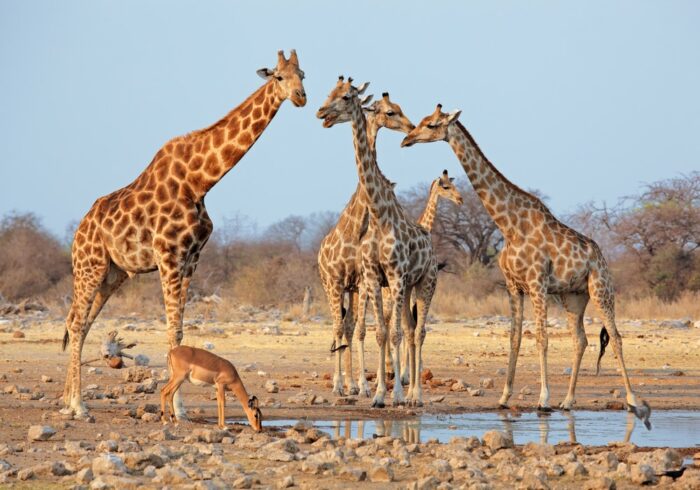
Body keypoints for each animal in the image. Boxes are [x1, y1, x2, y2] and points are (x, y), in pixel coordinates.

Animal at [62, 49, 306, 420]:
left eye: (303, 75)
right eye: (279, 76)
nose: (301, 97)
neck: (200, 181)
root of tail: (79, 231)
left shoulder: (192, 259)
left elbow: (179, 328)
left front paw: (181, 407)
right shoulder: (169, 256)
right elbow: (172, 330)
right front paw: (178, 408)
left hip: (112, 274)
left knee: (81, 321)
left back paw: (66, 400)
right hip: (89, 266)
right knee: (75, 323)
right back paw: (78, 405)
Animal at [318, 78, 438, 408]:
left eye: (346, 96)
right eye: (330, 94)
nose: (322, 113)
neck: (377, 213)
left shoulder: (393, 276)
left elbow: (392, 334)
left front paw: (392, 393)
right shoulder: (371, 277)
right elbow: (379, 333)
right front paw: (378, 394)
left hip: (424, 282)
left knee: (418, 331)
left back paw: (415, 395)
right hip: (358, 285)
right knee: (390, 329)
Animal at [402, 104, 652, 428]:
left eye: (431, 124)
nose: (406, 139)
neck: (510, 226)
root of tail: (602, 257)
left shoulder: (537, 284)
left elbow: (542, 339)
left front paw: (542, 399)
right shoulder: (513, 286)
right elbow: (515, 338)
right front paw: (504, 397)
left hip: (601, 290)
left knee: (617, 337)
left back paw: (631, 400)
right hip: (573, 297)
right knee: (580, 340)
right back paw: (568, 401)